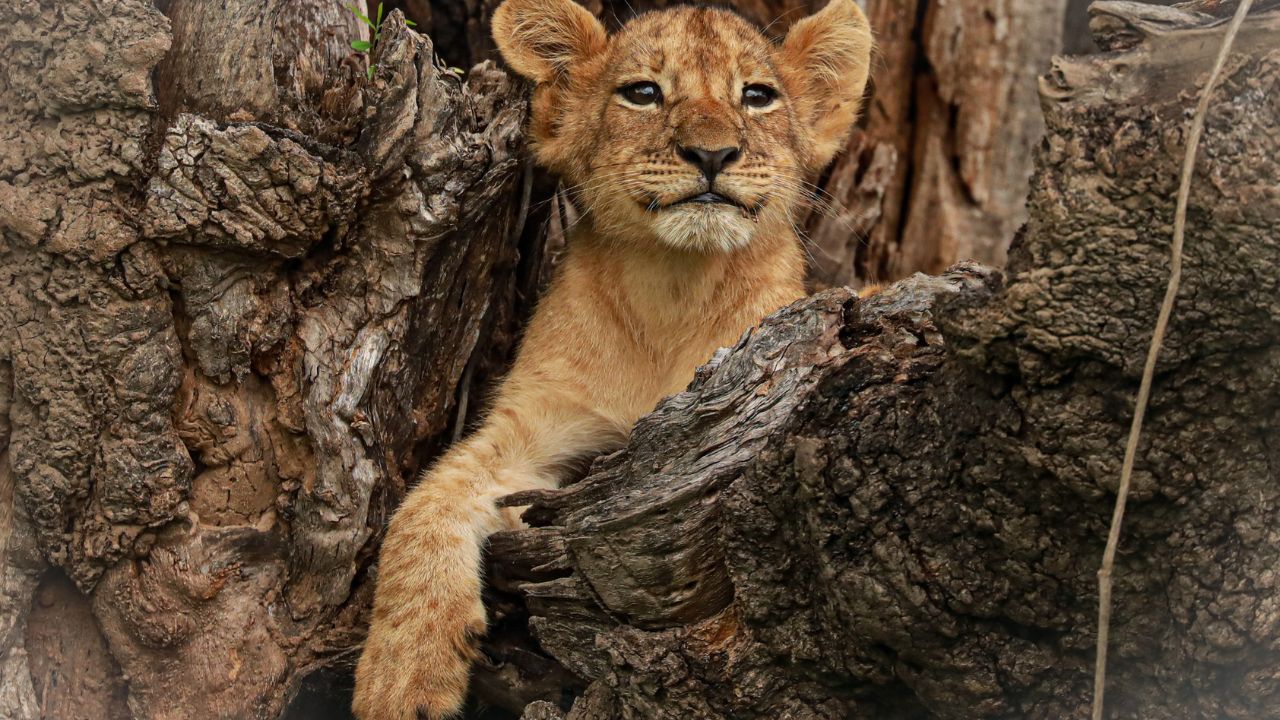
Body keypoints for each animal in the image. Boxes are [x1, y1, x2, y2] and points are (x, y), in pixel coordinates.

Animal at [353, 0, 873, 717]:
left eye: (757, 96)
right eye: (643, 93)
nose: (712, 153)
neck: (672, 287)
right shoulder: (530, 428)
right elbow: (423, 508)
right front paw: (399, 678)